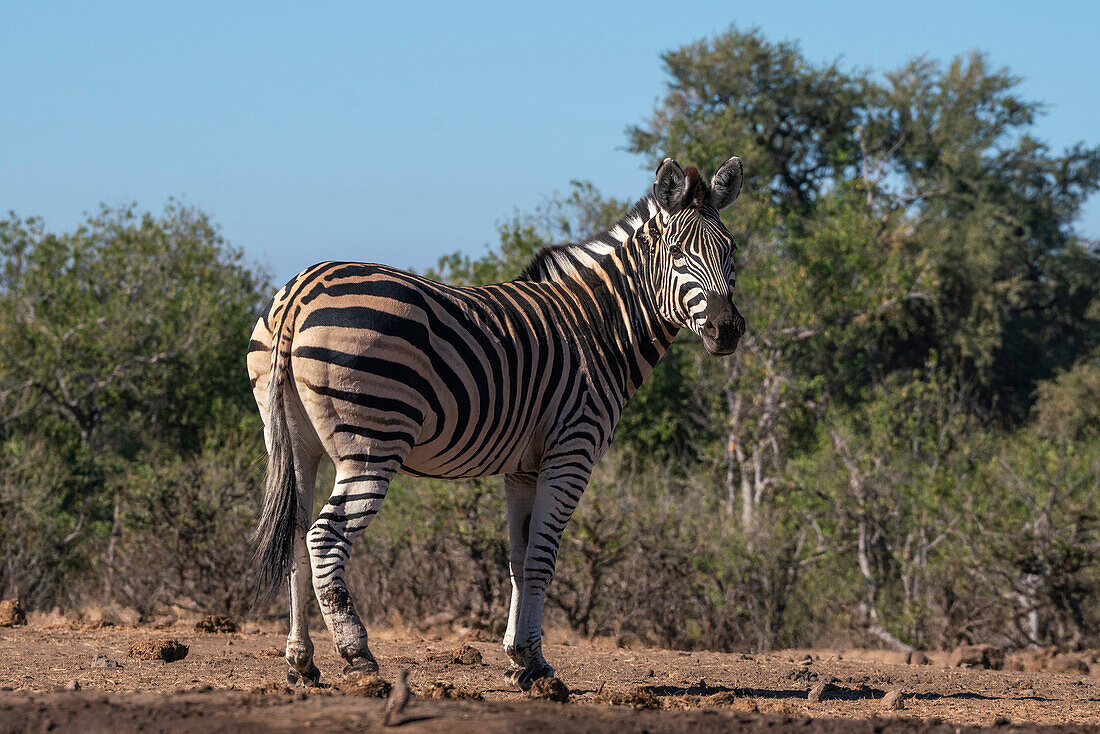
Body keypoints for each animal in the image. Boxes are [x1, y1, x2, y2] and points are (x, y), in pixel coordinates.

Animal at [247, 155, 748, 691]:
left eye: (732, 251)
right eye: (677, 253)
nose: (726, 330)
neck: (598, 327)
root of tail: (300, 291)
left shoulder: (523, 467)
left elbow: (517, 558)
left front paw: (520, 657)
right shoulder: (572, 452)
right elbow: (542, 560)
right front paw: (537, 664)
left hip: (294, 443)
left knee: (296, 535)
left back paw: (301, 660)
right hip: (372, 444)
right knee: (324, 538)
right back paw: (356, 652)